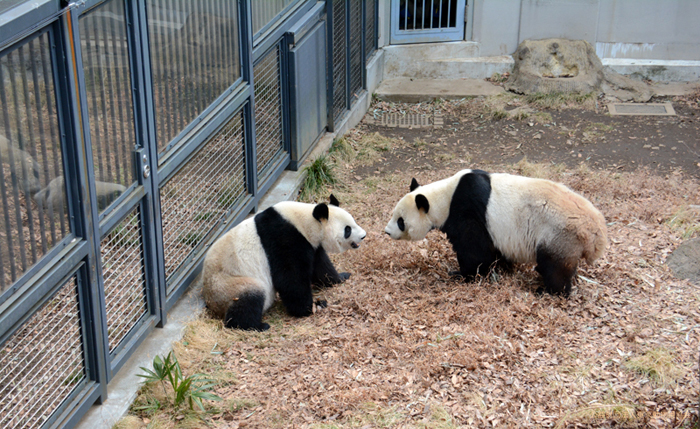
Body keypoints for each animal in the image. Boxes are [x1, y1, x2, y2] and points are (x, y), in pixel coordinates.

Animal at [201, 195, 366, 332]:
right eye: (347, 229)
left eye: (353, 221)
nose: (363, 236)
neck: (305, 221)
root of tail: (212, 305)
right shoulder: (284, 239)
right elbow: (290, 277)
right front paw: (311, 307)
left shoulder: (311, 244)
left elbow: (321, 266)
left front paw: (341, 277)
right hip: (227, 284)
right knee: (249, 297)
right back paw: (255, 326)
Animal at [382, 169, 608, 296]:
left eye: (401, 221)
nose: (387, 232)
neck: (444, 197)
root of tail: (597, 233)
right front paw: (504, 267)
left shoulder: (467, 211)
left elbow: (475, 250)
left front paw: (462, 274)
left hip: (559, 234)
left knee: (555, 266)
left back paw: (547, 291)